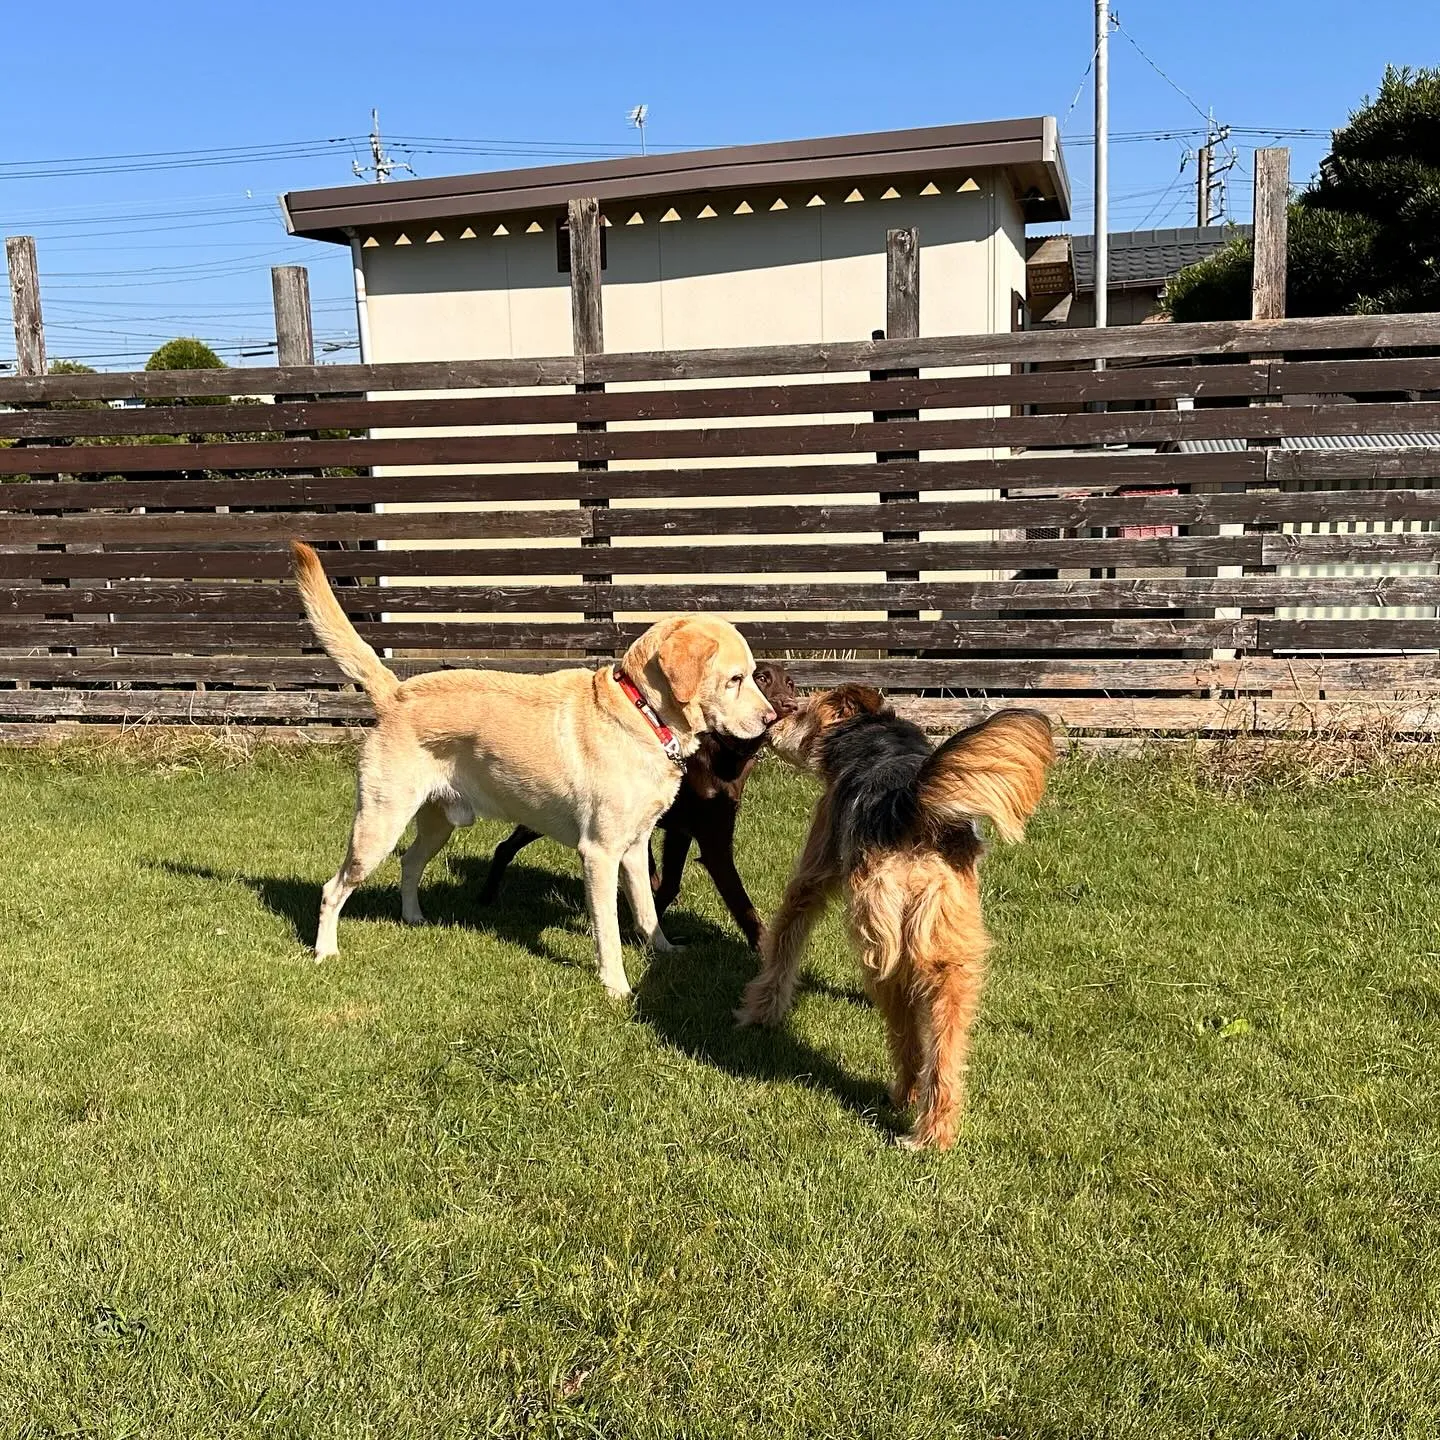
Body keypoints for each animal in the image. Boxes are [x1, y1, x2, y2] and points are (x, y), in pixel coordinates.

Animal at [289, 541, 777, 1002]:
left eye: (756, 676)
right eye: (735, 679)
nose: (772, 719)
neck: (642, 714)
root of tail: (395, 693)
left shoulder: (637, 846)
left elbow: (646, 911)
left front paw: (664, 951)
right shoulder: (599, 853)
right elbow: (609, 930)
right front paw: (617, 986)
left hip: (437, 824)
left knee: (409, 862)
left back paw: (413, 918)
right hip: (377, 828)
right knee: (332, 889)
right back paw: (325, 951)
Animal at [737, 685, 1054, 1146]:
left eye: (799, 709)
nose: (769, 724)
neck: (870, 732)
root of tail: (912, 807)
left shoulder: (812, 872)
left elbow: (782, 945)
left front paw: (758, 1013)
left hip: (885, 952)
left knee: (906, 1036)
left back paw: (904, 1096)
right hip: (953, 953)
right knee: (944, 1052)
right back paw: (934, 1133)